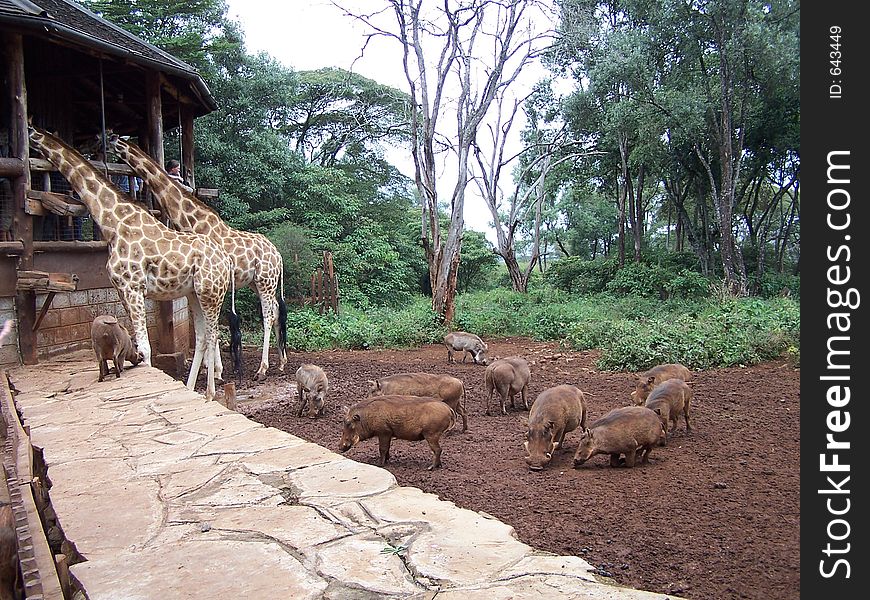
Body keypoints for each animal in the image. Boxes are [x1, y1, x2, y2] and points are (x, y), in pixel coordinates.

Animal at [29, 124, 233, 400]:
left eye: (98, 137)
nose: (83, 145)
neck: (112, 224)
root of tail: (224, 259)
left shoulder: (133, 287)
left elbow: (146, 348)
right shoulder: (121, 289)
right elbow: (135, 341)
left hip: (210, 292)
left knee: (212, 335)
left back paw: (211, 392)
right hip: (193, 293)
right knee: (202, 336)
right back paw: (192, 388)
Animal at [109, 135, 290, 380]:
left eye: (114, 142)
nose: (99, 143)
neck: (191, 220)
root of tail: (278, 254)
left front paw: (216, 371)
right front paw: (210, 368)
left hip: (265, 281)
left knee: (268, 315)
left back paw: (262, 368)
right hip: (258, 282)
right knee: (277, 311)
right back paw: (281, 362)